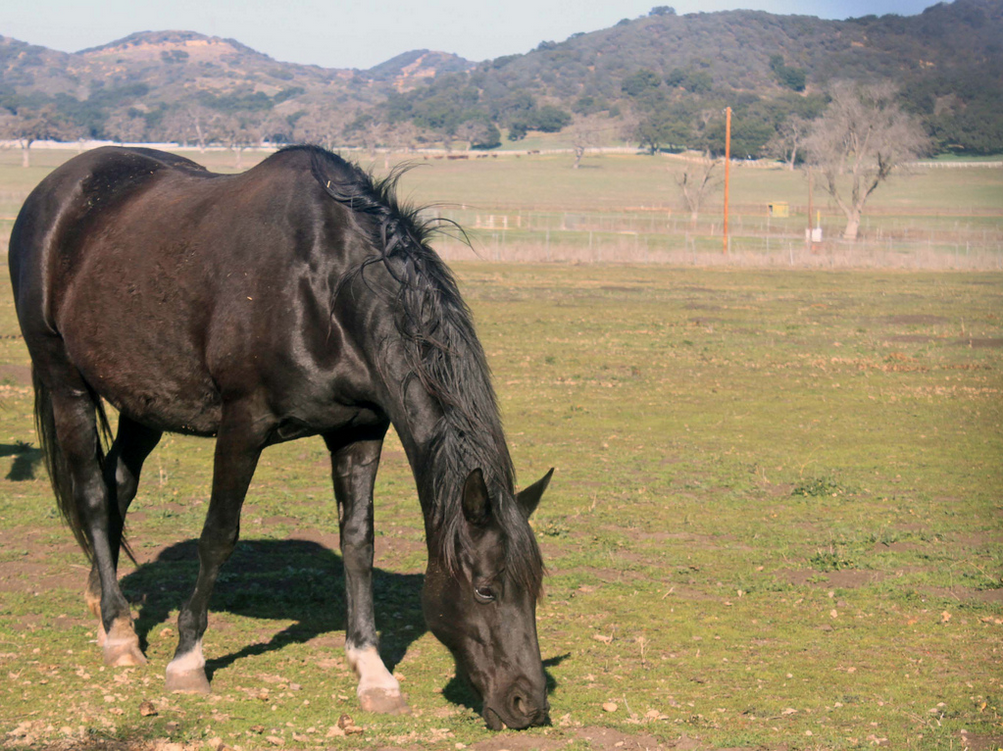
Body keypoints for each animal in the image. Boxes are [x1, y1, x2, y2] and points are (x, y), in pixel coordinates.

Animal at [7, 145, 553, 725]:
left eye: (534, 590)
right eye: (485, 590)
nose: (527, 704)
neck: (326, 291)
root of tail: (58, 189)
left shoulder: (361, 432)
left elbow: (358, 543)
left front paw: (373, 672)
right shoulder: (244, 425)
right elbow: (218, 535)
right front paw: (187, 660)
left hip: (145, 403)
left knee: (118, 485)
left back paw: (103, 600)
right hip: (65, 380)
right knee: (91, 492)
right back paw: (118, 632)